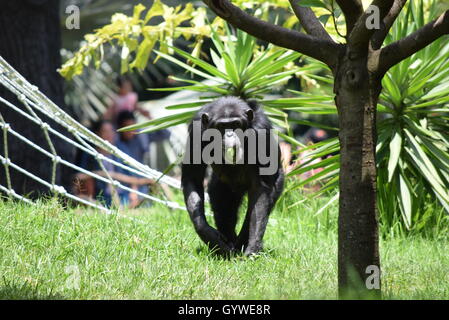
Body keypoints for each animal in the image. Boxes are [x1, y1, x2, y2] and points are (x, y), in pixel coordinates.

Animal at [179, 96, 282, 256]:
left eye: (236, 124)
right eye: (222, 126)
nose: (229, 134)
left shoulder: (261, 130)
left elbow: (260, 189)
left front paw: (253, 246)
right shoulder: (196, 130)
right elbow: (193, 178)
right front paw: (209, 235)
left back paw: (241, 244)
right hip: (221, 186)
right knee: (223, 208)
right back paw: (228, 246)